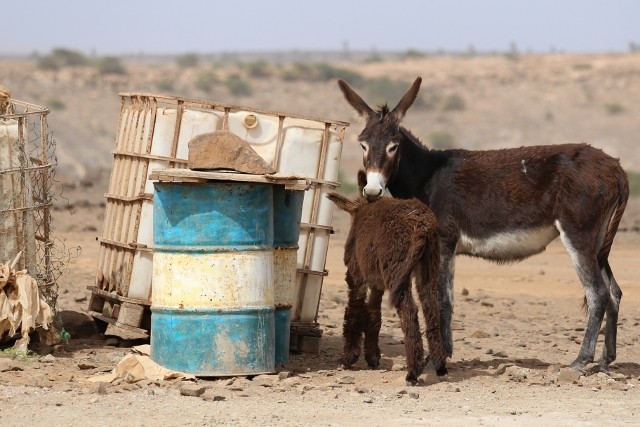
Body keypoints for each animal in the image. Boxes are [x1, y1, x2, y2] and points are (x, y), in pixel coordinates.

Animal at [328, 172, 448, 386]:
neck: (361, 209)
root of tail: (421, 224)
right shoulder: (377, 283)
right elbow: (374, 315)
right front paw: (372, 357)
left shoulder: (356, 275)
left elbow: (353, 311)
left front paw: (348, 358)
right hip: (429, 266)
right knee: (431, 308)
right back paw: (440, 367)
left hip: (397, 268)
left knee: (409, 311)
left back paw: (412, 372)